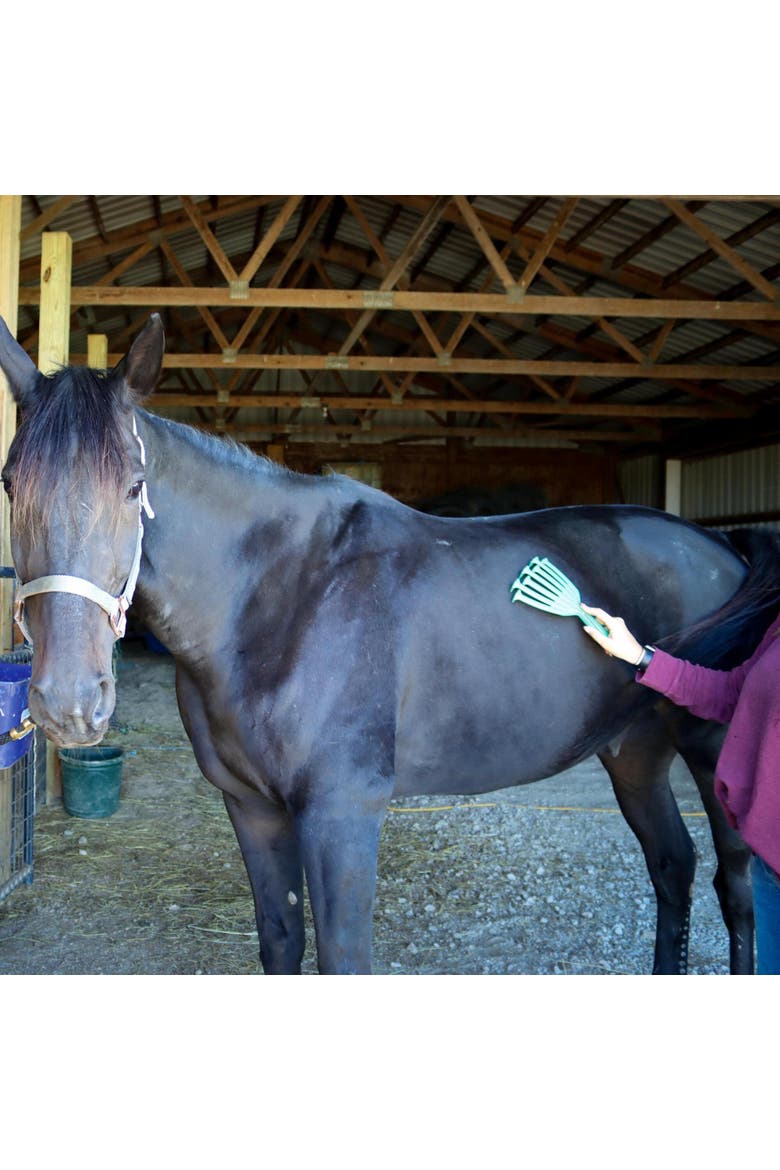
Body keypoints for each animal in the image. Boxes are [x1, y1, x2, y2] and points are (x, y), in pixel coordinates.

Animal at [2, 313, 779, 975]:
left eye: (135, 488)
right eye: (11, 484)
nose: (68, 703)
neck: (281, 597)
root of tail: (720, 547)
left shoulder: (343, 816)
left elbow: (343, 959)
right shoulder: (251, 809)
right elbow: (280, 943)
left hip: (710, 756)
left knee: (734, 884)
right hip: (635, 752)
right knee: (672, 866)